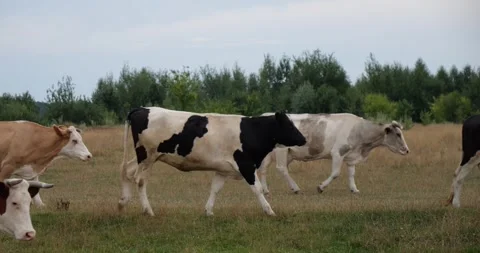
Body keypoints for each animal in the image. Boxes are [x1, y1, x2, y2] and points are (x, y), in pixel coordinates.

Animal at [117, 105, 306, 216]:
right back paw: (147, 210)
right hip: (147, 156)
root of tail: (142, 108)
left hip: (143, 157)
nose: (303, 139)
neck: (251, 131)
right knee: (140, 180)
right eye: (290, 125)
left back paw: (122, 202)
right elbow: (258, 189)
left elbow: (215, 189)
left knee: (126, 171)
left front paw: (208, 211)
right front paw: (269, 210)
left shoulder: (223, 169)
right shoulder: (246, 164)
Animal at [256, 113, 410, 196]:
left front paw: (354, 189)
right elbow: (335, 173)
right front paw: (321, 187)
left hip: (274, 154)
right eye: (398, 134)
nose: (407, 150)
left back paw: (266, 190)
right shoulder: (338, 152)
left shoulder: (351, 156)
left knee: (263, 169)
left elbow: (351, 174)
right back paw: (295, 188)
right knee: (281, 168)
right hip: (282, 150)